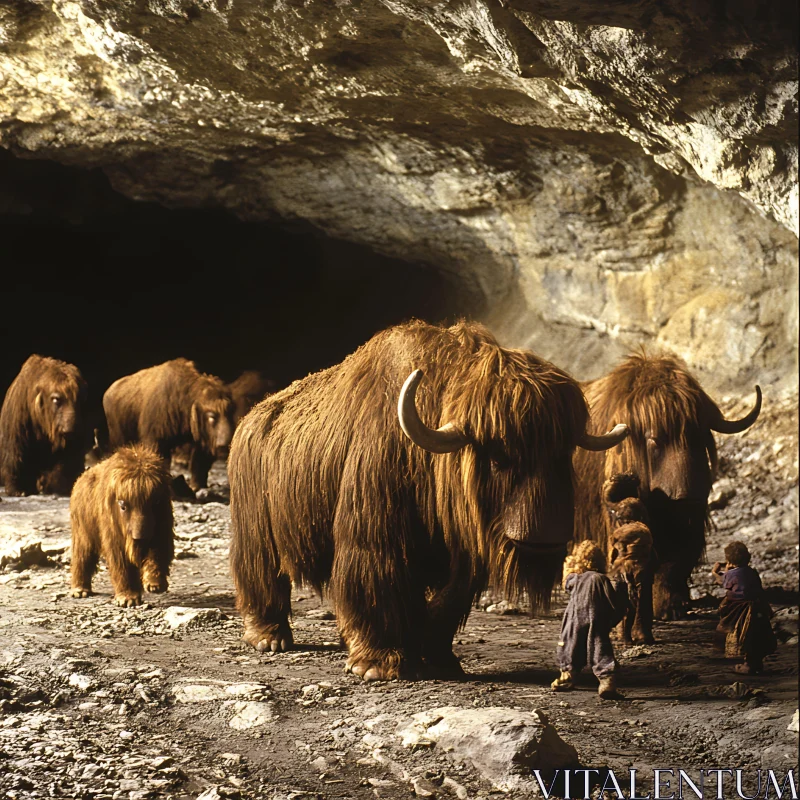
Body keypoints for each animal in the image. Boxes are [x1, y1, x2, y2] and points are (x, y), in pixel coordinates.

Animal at [0, 354, 88, 494]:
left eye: (80, 400)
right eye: (56, 400)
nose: (69, 430)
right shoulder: (16, 434)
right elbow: (14, 457)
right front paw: (16, 490)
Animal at [69, 444, 174, 608]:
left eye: (155, 503)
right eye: (123, 506)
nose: (139, 537)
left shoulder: (162, 527)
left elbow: (157, 552)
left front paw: (155, 585)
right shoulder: (114, 534)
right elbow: (120, 561)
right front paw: (128, 599)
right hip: (83, 531)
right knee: (82, 554)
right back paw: (80, 590)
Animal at [103, 360, 234, 490]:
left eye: (229, 413)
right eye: (212, 416)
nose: (225, 445)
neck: (184, 399)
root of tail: (107, 393)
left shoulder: (202, 440)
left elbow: (199, 462)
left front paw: (196, 486)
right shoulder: (156, 441)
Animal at [228, 318, 628, 680]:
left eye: (562, 454)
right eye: (499, 457)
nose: (544, 541)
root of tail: (250, 419)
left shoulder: (463, 556)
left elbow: (449, 600)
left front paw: (440, 659)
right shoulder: (376, 533)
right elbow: (376, 576)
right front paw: (377, 665)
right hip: (256, 531)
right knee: (261, 572)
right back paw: (269, 638)